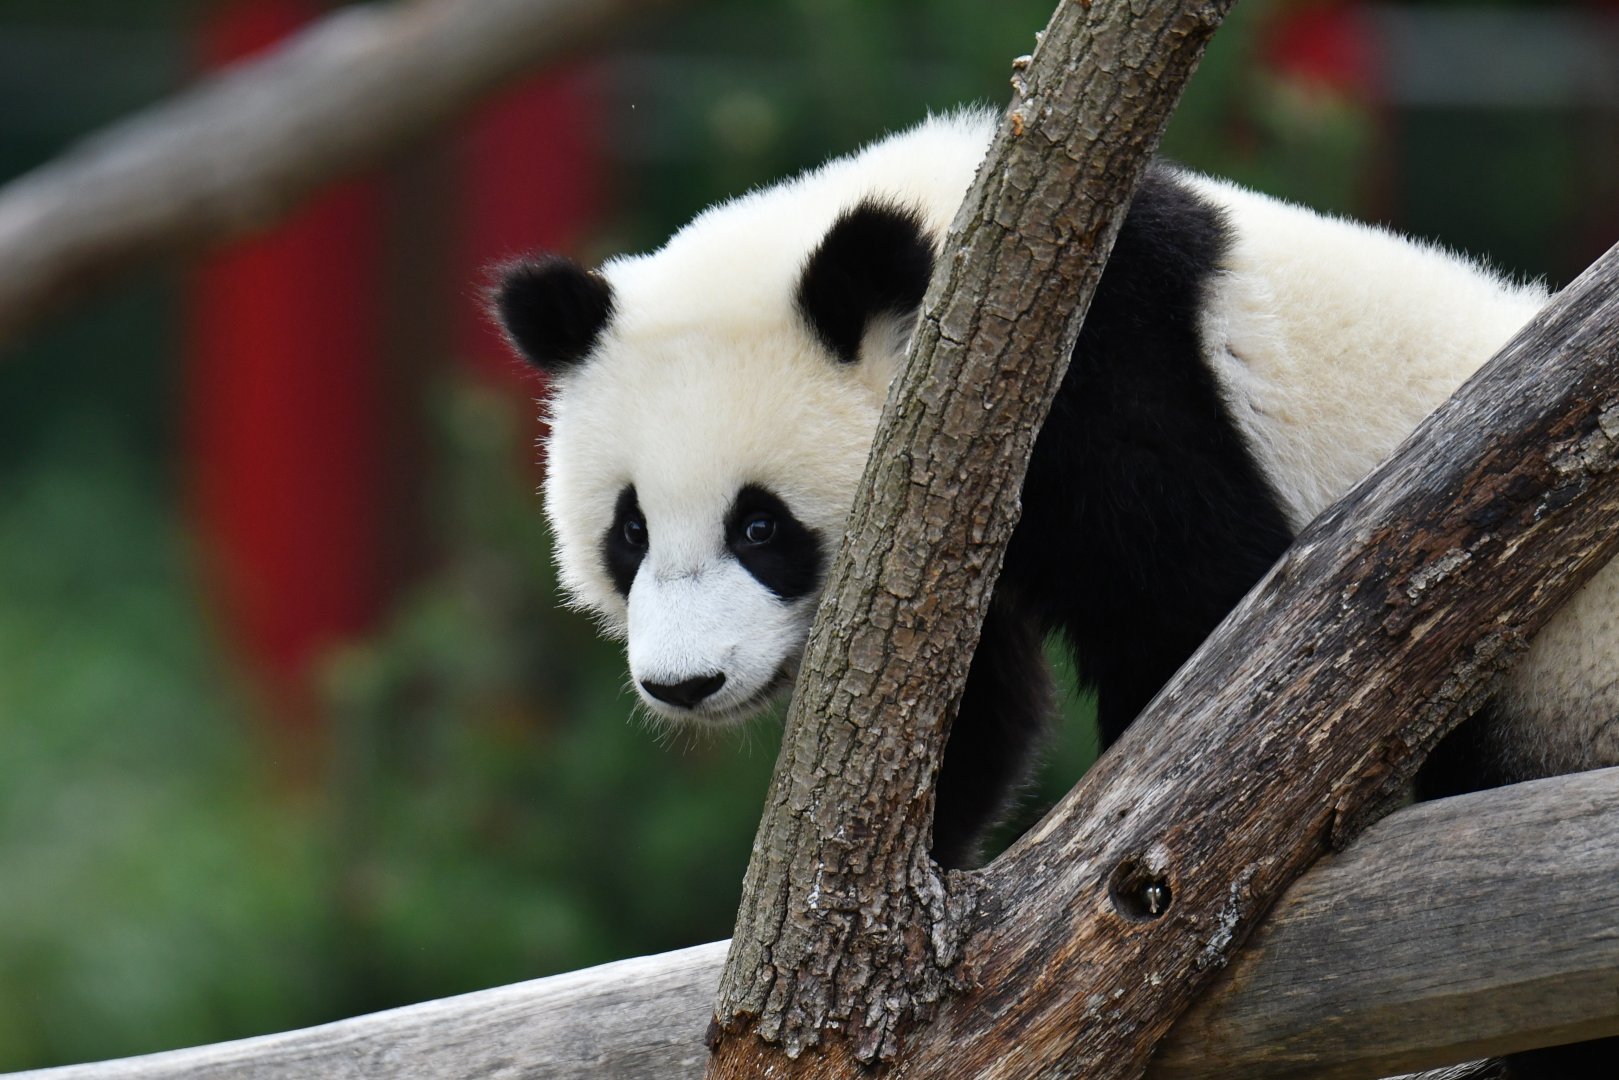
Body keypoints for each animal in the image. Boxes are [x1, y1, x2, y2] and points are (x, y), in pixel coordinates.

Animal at [493, 110, 1617, 1075]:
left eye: (759, 527)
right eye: (630, 531)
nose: (684, 683)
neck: (968, 274)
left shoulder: (1106, 377)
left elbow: (1210, 620)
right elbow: (961, 708)